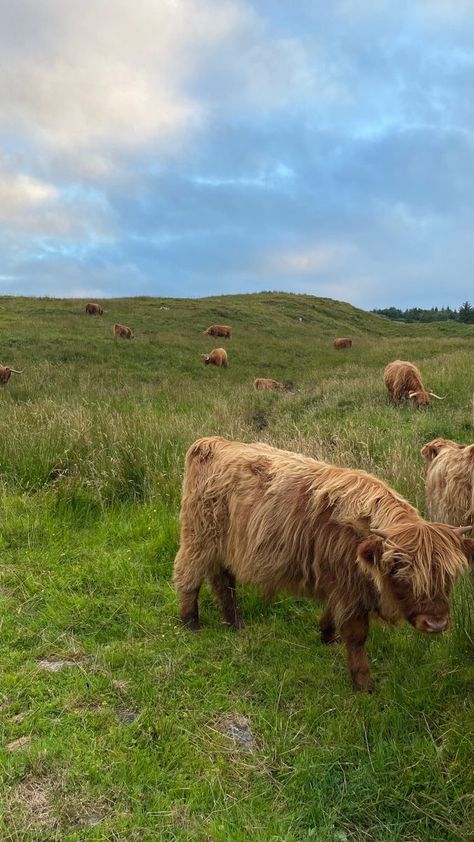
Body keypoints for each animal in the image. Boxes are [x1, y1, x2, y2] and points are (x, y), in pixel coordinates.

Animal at [174, 434, 474, 688]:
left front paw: (327, 636)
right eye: (400, 572)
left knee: (223, 582)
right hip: (198, 538)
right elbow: (357, 636)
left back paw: (234, 622)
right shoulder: (349, 589)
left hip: (224, 548)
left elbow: (333, 612)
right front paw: (364, 685)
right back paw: (191, 621)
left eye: (448, 577)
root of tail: (212, 442)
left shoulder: (341, 584)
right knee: (188, 575)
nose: (436, 624)